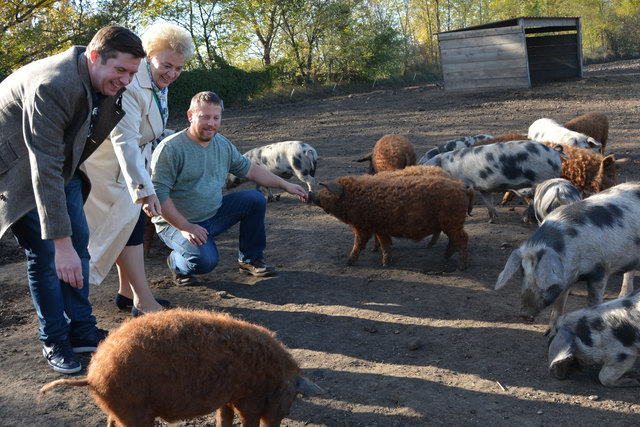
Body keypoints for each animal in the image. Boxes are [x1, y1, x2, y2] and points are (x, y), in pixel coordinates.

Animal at [37, 310, 322, 426]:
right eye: (293, 397)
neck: (275, 375)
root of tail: (92, 375)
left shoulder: (227, 398)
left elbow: (223, 419)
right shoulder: (248, 398)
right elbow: (247, 420)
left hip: (120, 409)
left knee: (110, 422)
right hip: (136, 413)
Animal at [308, 172, 472, 270]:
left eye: (327, 192)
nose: (311, 195)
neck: (355, 198)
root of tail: (463, 188)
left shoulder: (363, 227)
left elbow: (359, 244)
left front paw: (348, 263)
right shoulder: (380, 228)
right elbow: (384, 244)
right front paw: (386, 263)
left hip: (452, 221)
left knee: (463, 238)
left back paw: (461, 267)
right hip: (451, 223)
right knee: (454, 240)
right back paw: (446, 257)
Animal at [420, 140, 564, 222]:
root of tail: (554, 152)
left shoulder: (465, 184)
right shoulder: (483, 188)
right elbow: (488, 202)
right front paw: (492, 220)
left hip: (542, 177)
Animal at [496, 182, 640, 332]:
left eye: (542, 275)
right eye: (522, 272)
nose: (524, 314)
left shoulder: (600, 270)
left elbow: (593, 302)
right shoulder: (565, 280)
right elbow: (558, 305)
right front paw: (549, 332)